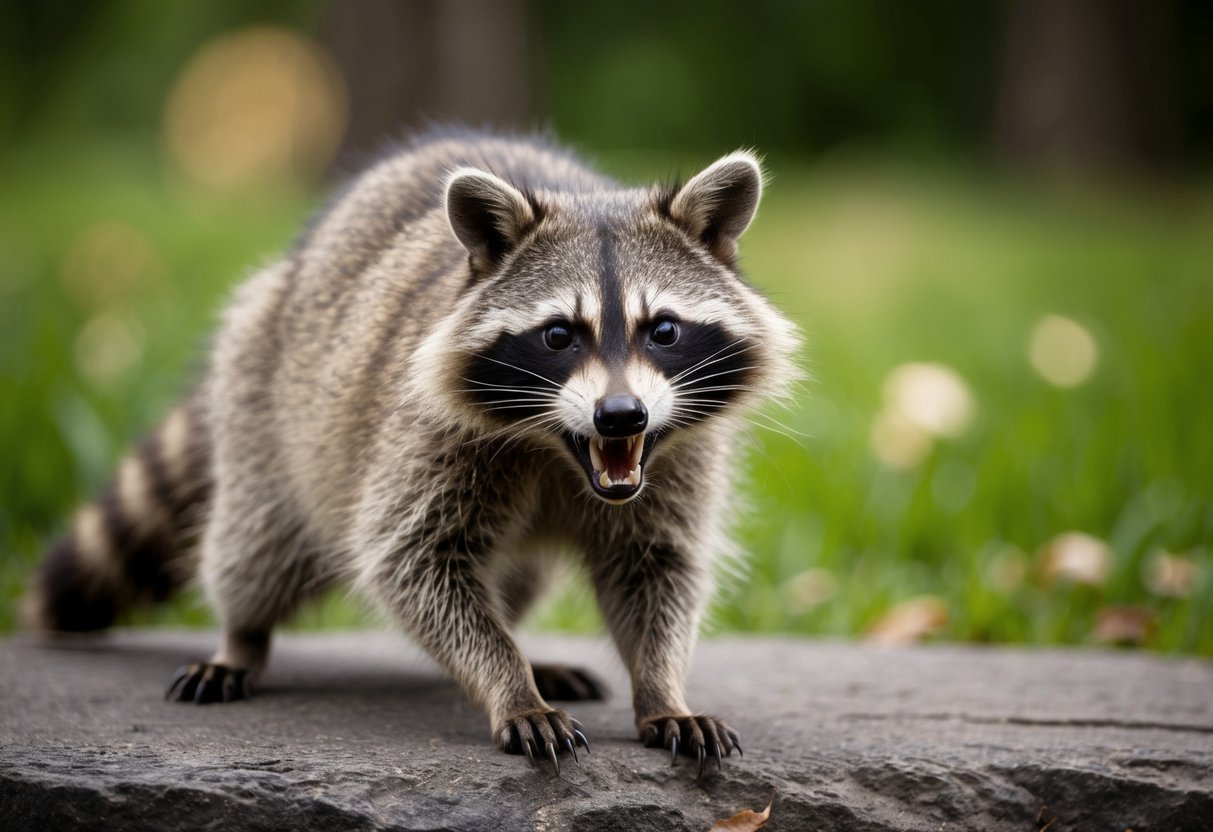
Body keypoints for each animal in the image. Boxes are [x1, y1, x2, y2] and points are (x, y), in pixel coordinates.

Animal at [24, 130, 799, 775]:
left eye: (662, 329)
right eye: (558, 335)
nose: (620, 415)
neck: (561, 454)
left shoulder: (679, 458)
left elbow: (658, 569)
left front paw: (661, 686)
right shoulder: (425, 437)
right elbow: (415, 562)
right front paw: (508, 684)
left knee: (517, 578)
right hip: (263, 401)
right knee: (254, 546)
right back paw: (240, 636)